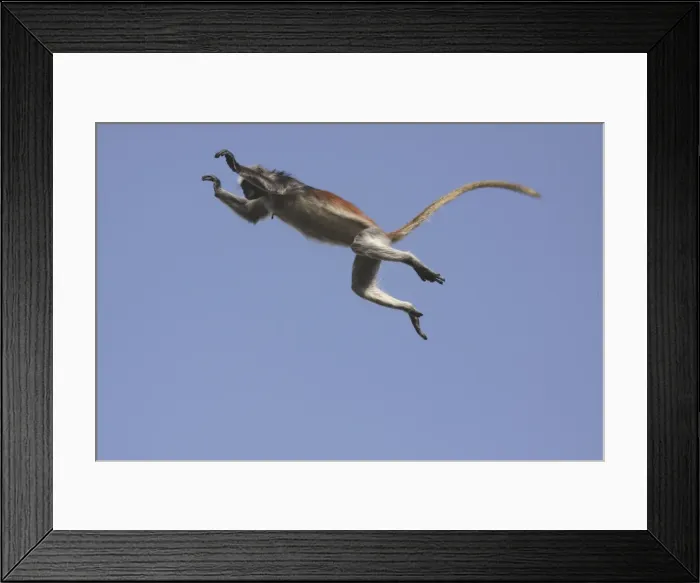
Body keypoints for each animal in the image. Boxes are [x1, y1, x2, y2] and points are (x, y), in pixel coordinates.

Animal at [202, 149, 540, 340]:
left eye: (247, 186)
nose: (245, 192)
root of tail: (386, 234)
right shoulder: (268, 198)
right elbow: (253, 216)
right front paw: (218, 186)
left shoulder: (281, 186)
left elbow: (268, 189)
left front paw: (234, 163)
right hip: (374, 248)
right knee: (360, 287)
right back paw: (408, 308)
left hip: (370, 238)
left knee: (360, 248)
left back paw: (412, 260)